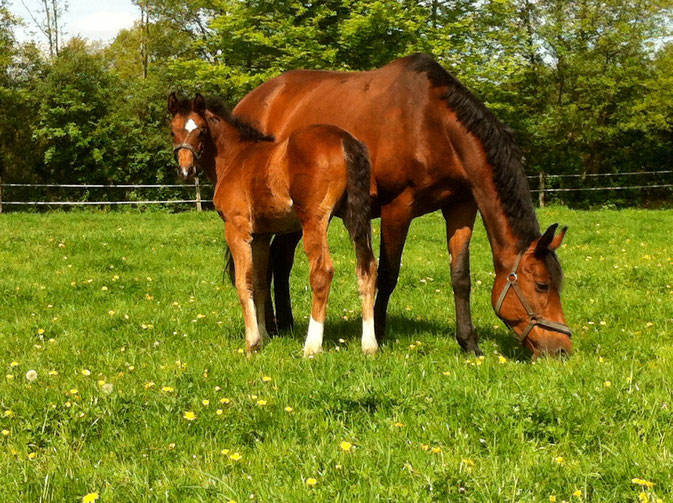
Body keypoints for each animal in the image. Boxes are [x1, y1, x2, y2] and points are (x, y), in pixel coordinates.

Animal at [228, 53, 568, 356]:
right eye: (541, 285)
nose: (562, 349)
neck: (432, 124)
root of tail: (250, 101)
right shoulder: (398, 209)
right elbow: (388, 274)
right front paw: (376, 333)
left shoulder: (461, 207)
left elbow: (461, 277)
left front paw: (469, 343)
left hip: (299, 215)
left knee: (280, 260)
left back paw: (282, 324)